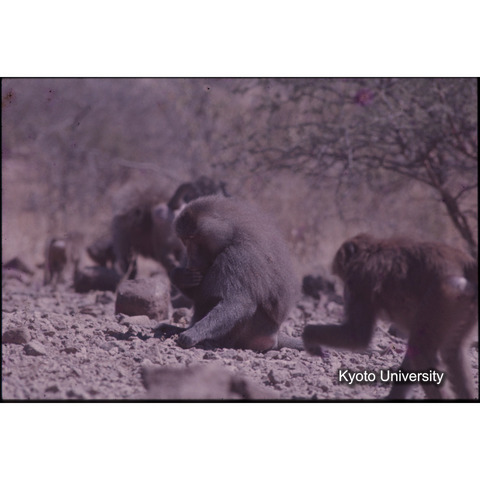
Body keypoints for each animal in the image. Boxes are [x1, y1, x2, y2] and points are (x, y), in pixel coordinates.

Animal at [157, 195, 305, 352]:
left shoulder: (239, 256)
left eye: (192, 237)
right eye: (184, 240)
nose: (190, 261)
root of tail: (275, 337)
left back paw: (211, 340)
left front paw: (192, 334)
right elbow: (197, 292)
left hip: (256, 331)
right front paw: (181, 276)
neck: (231, 234)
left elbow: (239, 302)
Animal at [302, 233, 478, 400]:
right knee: (450, 351)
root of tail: (466, 264)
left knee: (422, 349)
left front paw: (308, 336)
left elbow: (357, 337)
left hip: (445, 293)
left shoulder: (361, 281)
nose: (345, 292)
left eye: (345, 279)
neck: (370, 251)